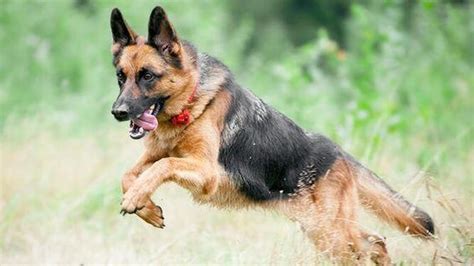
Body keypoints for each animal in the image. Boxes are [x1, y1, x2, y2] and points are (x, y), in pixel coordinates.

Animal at [110, 6, 434, 264]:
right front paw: (146, 207)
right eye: (121, 77)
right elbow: (128, 175)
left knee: (372, 243)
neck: (191, 103)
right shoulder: (156, 157)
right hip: (323, 230)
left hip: (331, 231)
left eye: (148, 76)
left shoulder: (205, 172)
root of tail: (337, 152)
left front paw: (137, 198)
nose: (118, 112)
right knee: (375, 243)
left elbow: (163, 167)